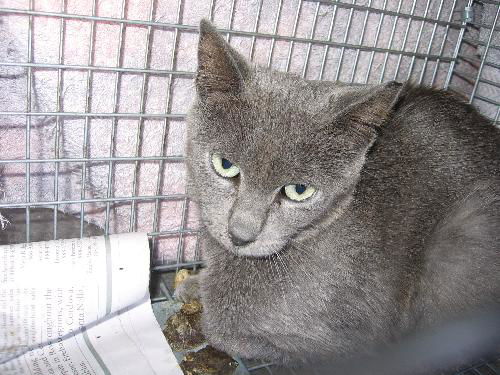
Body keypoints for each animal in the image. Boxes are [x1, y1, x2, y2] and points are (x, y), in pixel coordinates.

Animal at [175, 19, 500, 368]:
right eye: (225, 165)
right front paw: (193, 285)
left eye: (299, 191)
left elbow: (223, 330)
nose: (240, 235)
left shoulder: (347, 342)